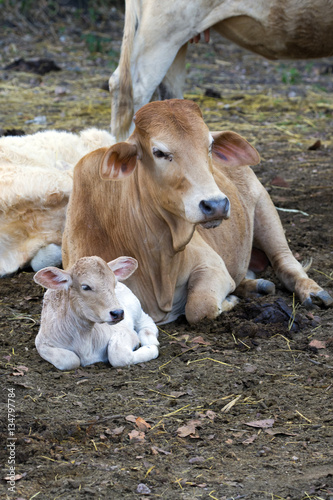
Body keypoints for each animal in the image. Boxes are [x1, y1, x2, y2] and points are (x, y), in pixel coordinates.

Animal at [61, 98, 330, 324]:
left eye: (209, 146)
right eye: (159, 152)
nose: (216, 204)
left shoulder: (211, 266)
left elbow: (198, 308)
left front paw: (229, 300)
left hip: (265, 209)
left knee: (286, 263)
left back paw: (312, 292)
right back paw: (256, 287)